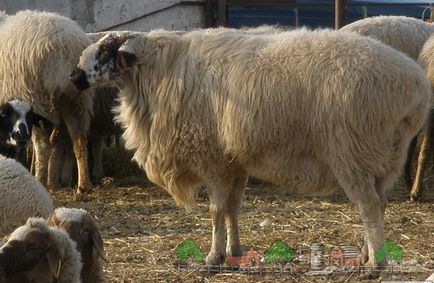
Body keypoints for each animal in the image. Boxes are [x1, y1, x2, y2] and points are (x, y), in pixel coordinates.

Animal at [0, 9, 94, 195]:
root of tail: (66, 47)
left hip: (37, 100)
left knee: (43, 145)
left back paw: (41, 180)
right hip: (75, 101)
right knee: (78, 141)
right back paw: (81, 185)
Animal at [71, 29, 430, 270]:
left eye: (105, 51)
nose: (74, 76)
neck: (158, 72)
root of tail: (417, 85)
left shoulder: (212, 157)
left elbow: (215, 210)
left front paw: (213, 256)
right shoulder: (234, 162)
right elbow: (232, 208)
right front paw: (236, 250)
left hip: (352, 152)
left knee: (369, 206)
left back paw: (375, 264)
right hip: (382, 157)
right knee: (379, 204)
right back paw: (369, 254)